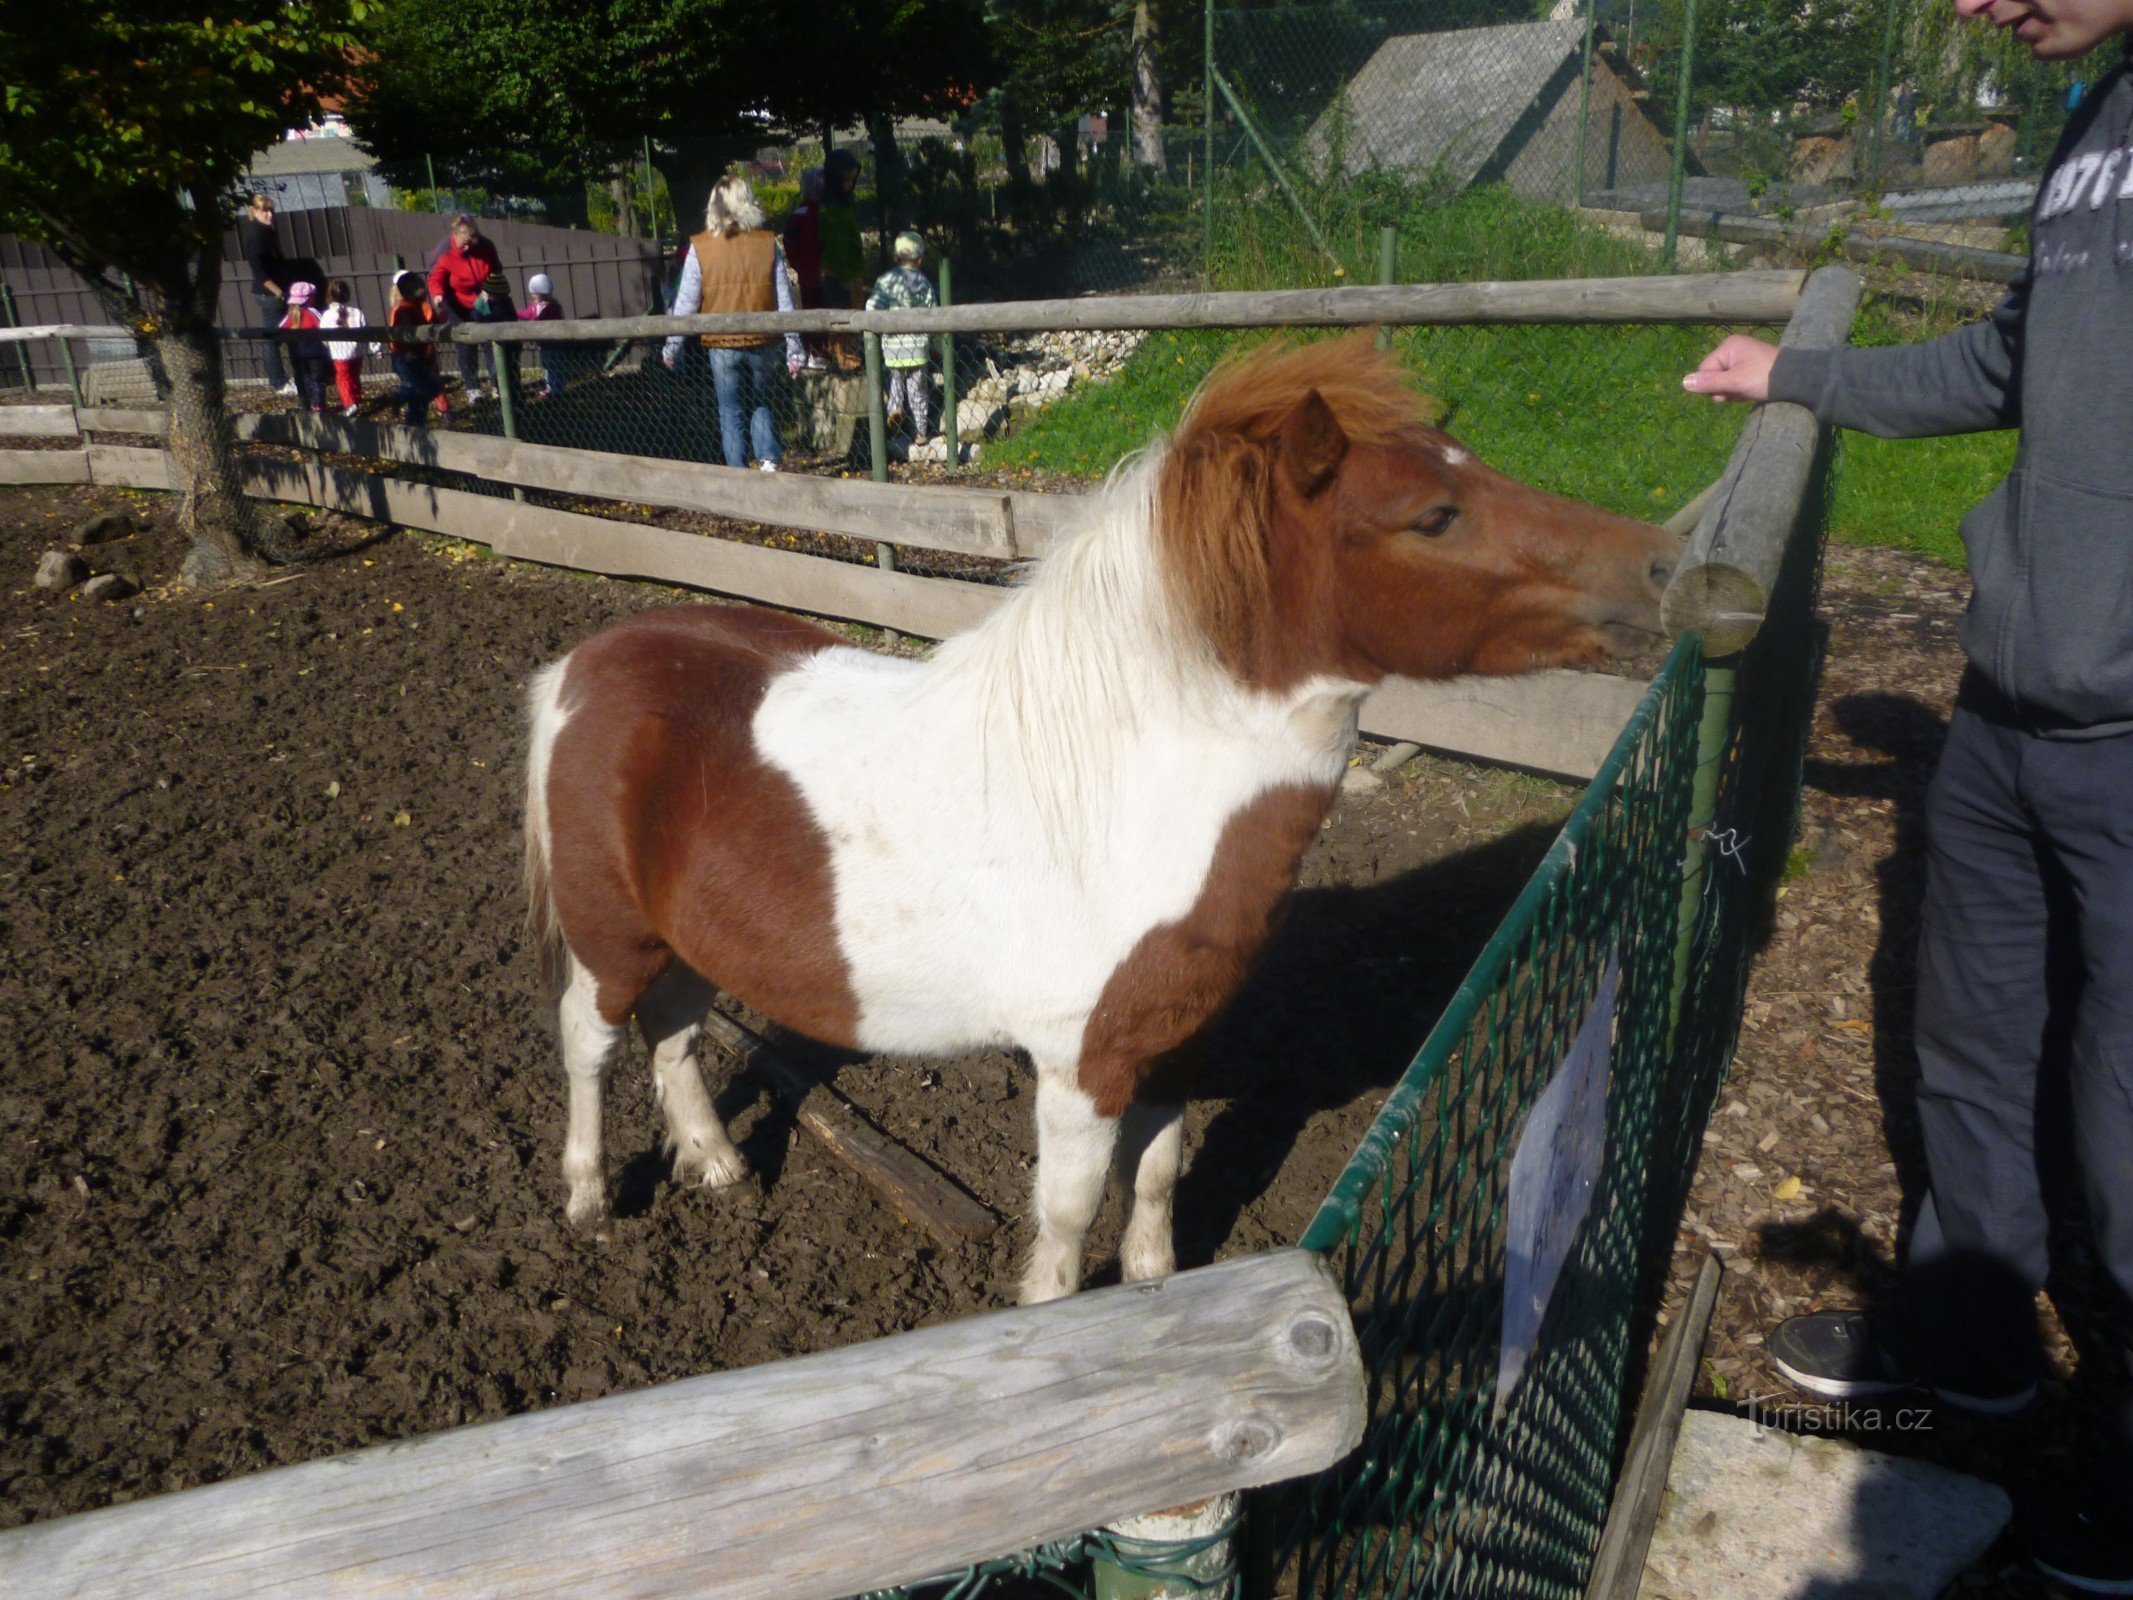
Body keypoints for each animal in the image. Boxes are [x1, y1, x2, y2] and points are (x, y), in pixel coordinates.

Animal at [520, 334, 1680, 1305]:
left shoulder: (1170, 1048)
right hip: (610, 938)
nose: (1666, 566)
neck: (1129, 793)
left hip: (685, 937)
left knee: (673, 1034)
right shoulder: (1083, 1064)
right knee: (588, 1039)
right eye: (1434, 516)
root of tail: (588, 665)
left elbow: (1157, 1180)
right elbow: (1071, 1213)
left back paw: (717, 1165)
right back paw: (584, 1197)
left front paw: (1151, 1301)